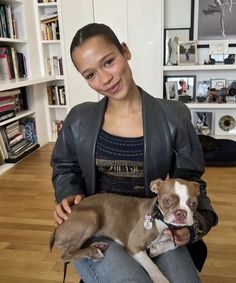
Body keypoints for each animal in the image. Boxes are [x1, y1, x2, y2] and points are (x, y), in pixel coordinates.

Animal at [49, 180, 199, 283]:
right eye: (167, 201)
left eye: (193, 204)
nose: (181, 213)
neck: (161, 219)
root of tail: (57, 227)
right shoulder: (133, 246)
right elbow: (152, 266)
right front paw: (161, 280)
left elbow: (175, 244)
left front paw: (157, 248)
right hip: (92, 217)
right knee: (66, 255)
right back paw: (93, 252)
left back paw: (97, 246)